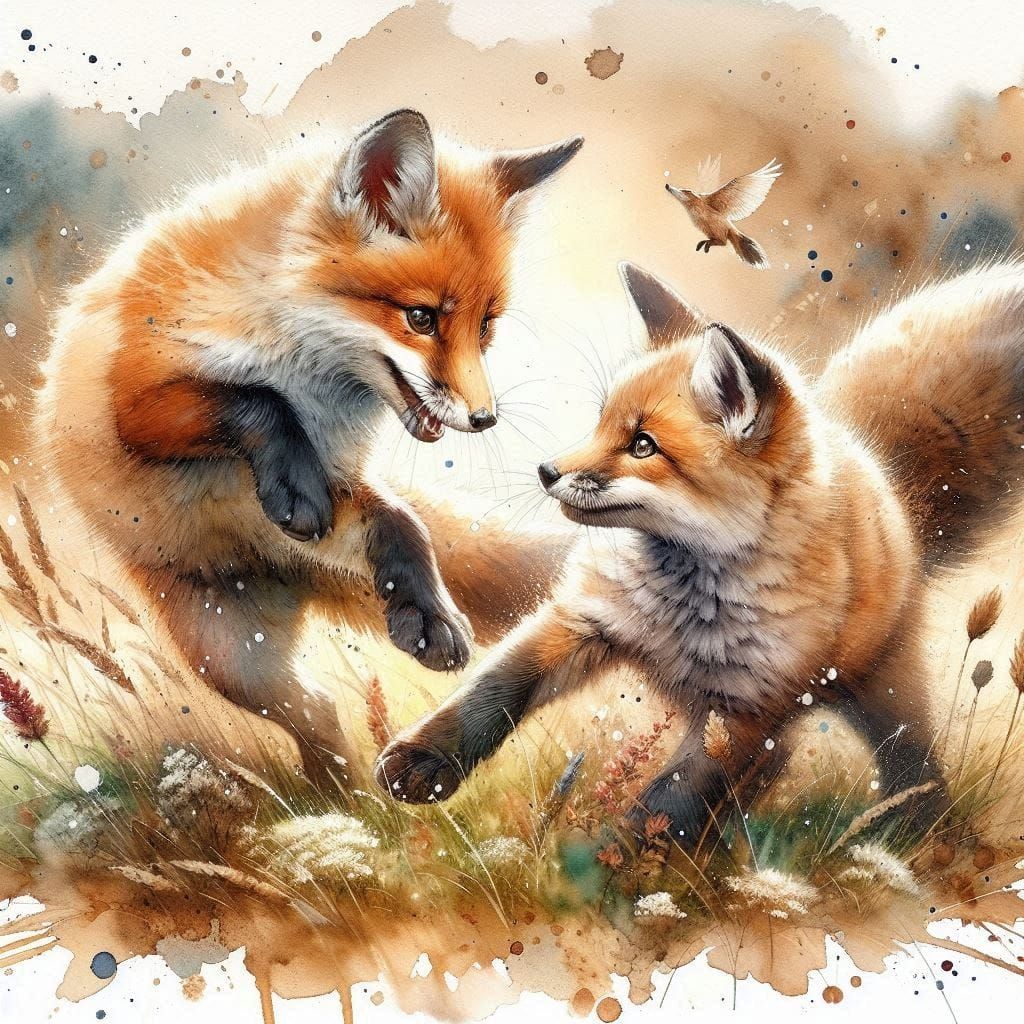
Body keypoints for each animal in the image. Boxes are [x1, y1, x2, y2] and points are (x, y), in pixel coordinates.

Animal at [36, 109, 581, 787]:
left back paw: (350, 796)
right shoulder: (135, 405)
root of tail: (273, 574)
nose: (484, 418)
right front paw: (289, 473)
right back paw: (340, 799)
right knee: (312, 709)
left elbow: (402, 522)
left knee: (320, 705)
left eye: (485, 326)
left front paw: (430, 616)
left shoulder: (334, 487)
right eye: (421, 318)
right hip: (229, 660)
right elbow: (255, 400)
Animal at [375, 260, 1024, 844]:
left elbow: (671, 799)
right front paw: (425, 758)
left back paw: (911, 831)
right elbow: (490, 694)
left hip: (881, 693)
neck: (681, 608)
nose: (546, 471)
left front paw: (613, 871)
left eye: (643, 445)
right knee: (777, 763)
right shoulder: (582, 617)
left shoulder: (742, 710)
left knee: (908, 763)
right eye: (601, 422)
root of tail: (878, 474)